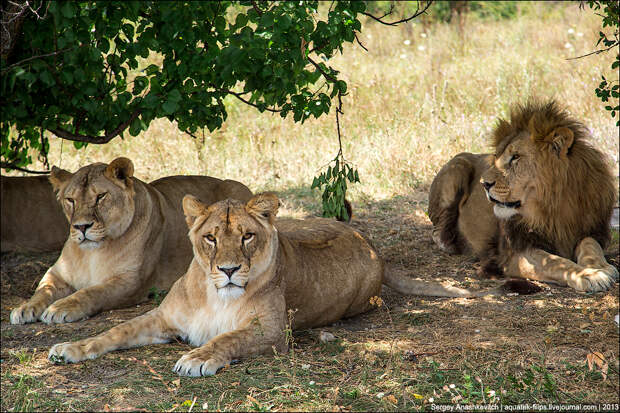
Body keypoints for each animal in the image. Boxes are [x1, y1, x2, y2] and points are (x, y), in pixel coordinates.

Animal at [9, 156, 252, 324]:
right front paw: (25, 308)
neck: (92, 253)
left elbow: (92, 292)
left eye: (100, 197)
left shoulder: (131, 282)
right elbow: (43, 290)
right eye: (70, 200)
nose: (81, 227)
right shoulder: (57, 274)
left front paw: (60, 308)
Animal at [48, 192, 524, 374]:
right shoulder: (160, 319)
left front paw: (197, 358)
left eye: (246, 236)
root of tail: (371, 244)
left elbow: (226, 340)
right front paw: (67, 349)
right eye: (210, 238)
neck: (216, 294)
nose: (228, 270)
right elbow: (113, 331)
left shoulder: (272, 332)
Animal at [428, 101, 616, 292]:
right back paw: (451, 243)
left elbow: (590, 246)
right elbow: (554, 262)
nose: (484, 184)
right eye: (496, 156)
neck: (554, 207)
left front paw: (600, 268)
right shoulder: (515, 252)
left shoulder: (590, 229)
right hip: (458, 167)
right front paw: (587, 275)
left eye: (516, 157)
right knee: (437, 229)